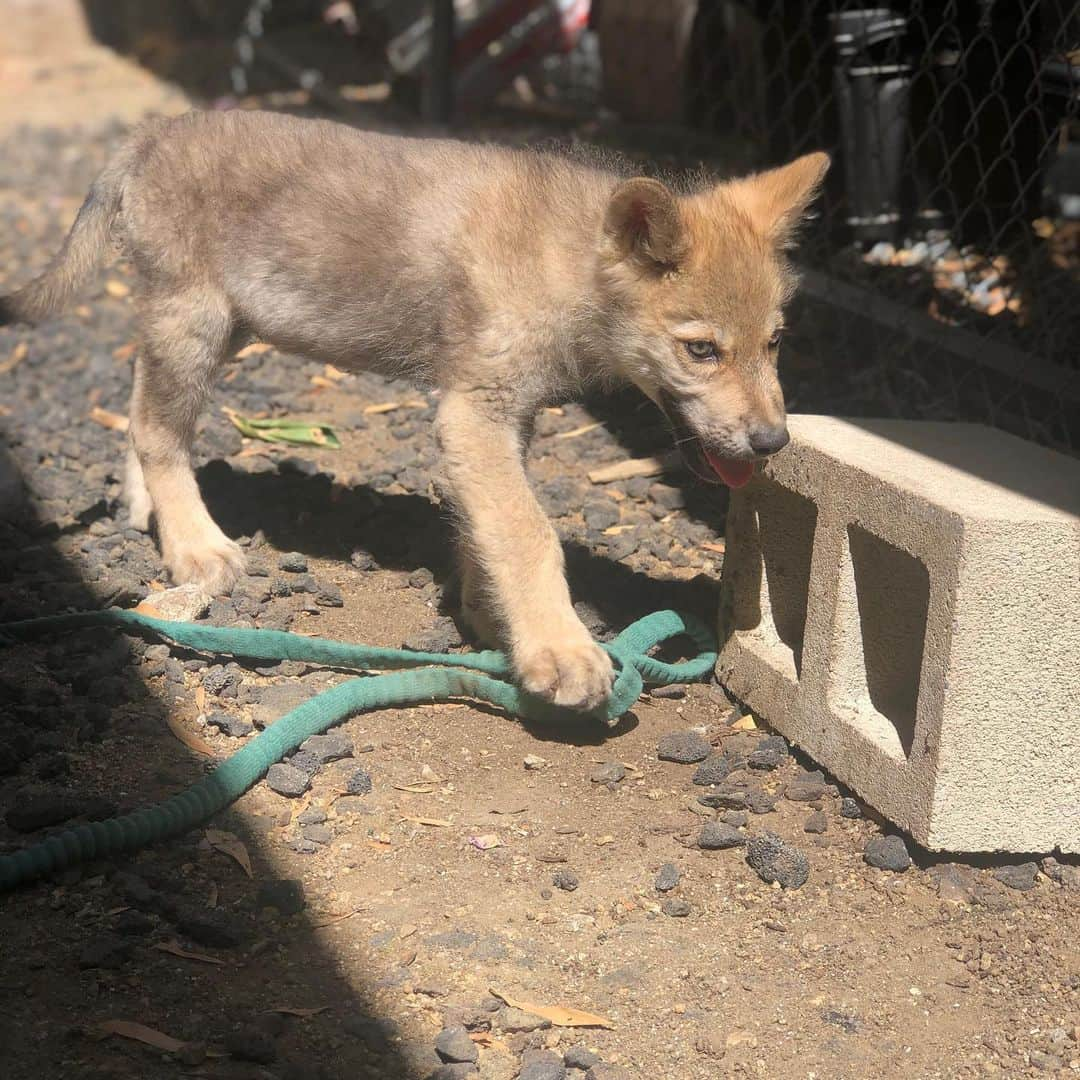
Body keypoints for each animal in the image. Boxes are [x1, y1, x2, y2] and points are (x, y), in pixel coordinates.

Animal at [2, 111, 825, 708]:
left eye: (775, 342)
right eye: (702, 350)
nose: (772, 441)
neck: (564, 262)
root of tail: (152, 134)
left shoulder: (501, 418)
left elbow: (484, 525)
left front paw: (492, 619)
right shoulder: (473, 414)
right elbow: (528, 532)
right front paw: (559, 648)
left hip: (226, 329)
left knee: (139, 406)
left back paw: (146, 508)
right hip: (196, 324)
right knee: (156, 428)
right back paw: (195, 544)